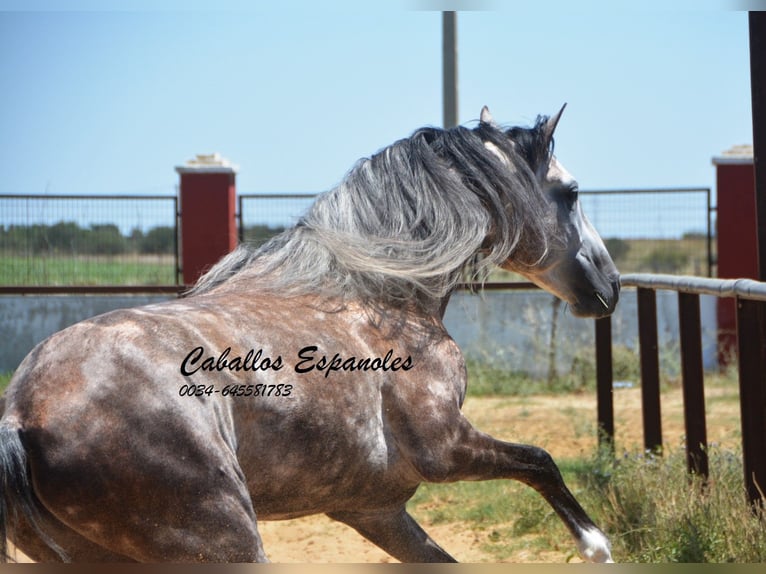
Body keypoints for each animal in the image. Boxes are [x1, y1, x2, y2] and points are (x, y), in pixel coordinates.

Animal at [0, 106, 620, 564]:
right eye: (571, 192)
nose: (610, 286)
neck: (376, 294)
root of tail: (20, 417)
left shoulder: (374, 510)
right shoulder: (445, 448)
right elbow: (540, 459)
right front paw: (596, 546)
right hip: (225, 541)